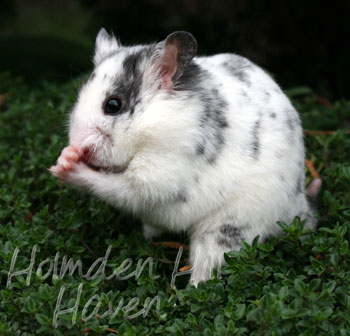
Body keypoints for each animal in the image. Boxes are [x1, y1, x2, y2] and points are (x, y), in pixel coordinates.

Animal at [50, 28, 322, 286]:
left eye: (113, 105)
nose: (75, 143)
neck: (151, 127)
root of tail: (298, 206)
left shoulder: (156, 179)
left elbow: (110, 186)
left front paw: (62, 168)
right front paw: (65, 157)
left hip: (225, 230)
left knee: (206, 270)